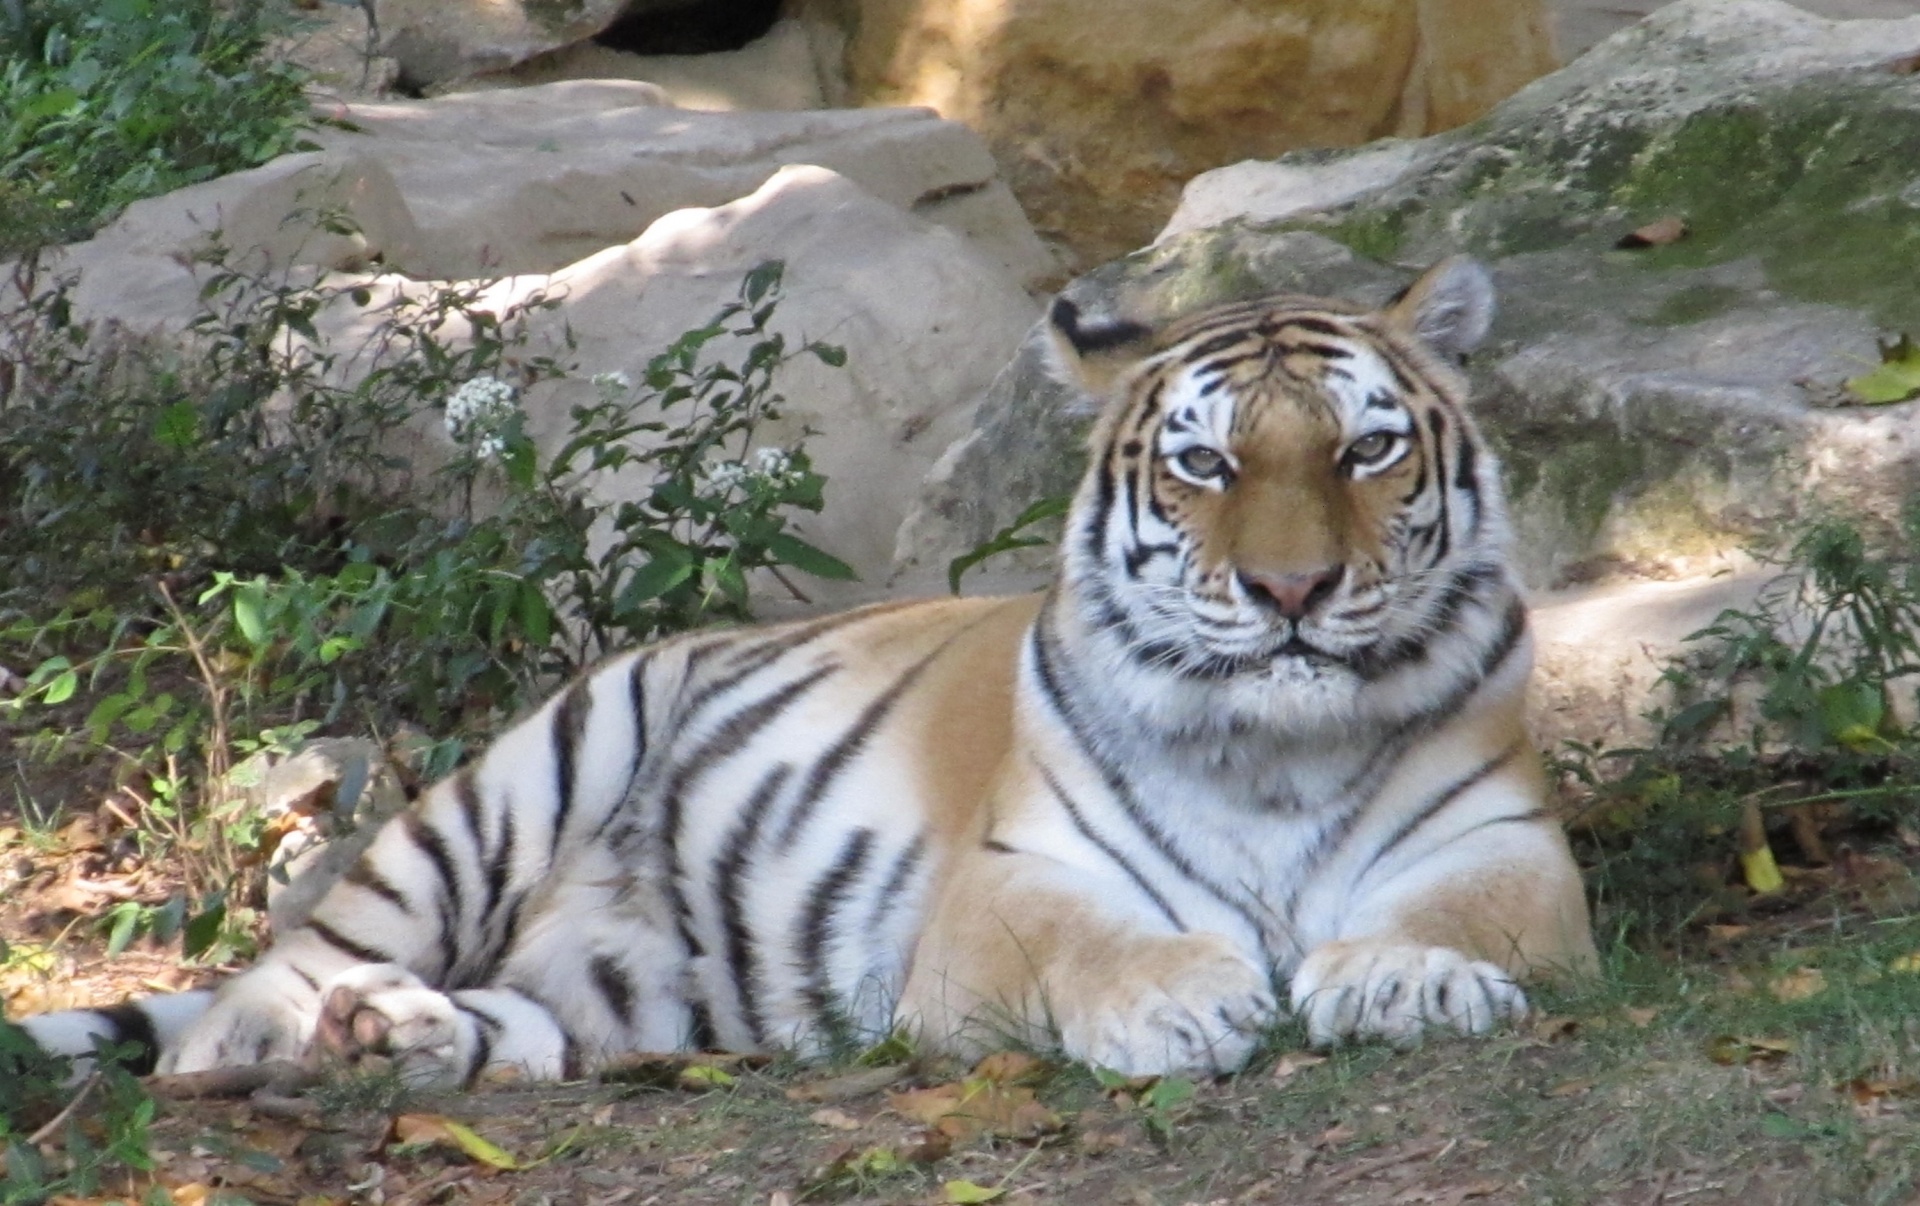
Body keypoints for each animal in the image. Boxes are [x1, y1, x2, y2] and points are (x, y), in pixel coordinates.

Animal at [22, 253, 1597, 1083]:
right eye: (1205, 465)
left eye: (1368, 449)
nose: (1289, 590)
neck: (1274, 746)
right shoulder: (1007, 891)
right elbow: (1094, 943)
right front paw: (1182, 1001)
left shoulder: (1510, 849)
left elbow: (1459, 915)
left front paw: (1404, 981)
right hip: (511, 789)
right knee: (264, 987)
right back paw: (284, 1037)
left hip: (627, 990)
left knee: (525, 1025)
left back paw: (396, 1037)